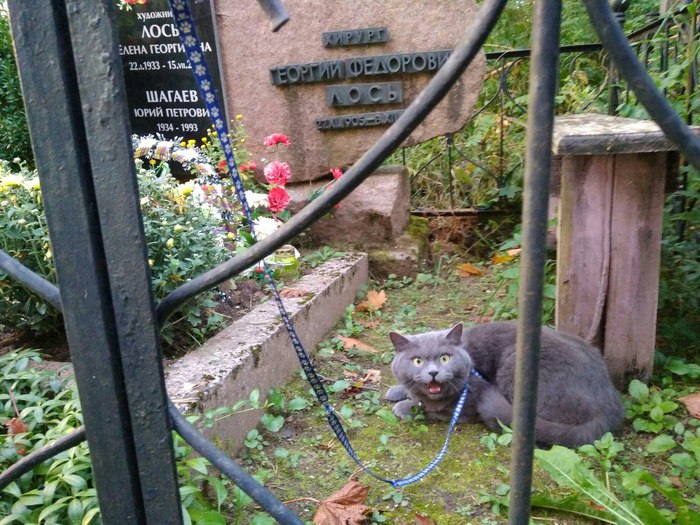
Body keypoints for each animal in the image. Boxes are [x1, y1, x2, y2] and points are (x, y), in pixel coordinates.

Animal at [388, 320, 624, 446]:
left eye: (445, 358)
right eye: (417, 361)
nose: (433, 373)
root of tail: (609, 408)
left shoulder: (467, 402)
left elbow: (433, 409)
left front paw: (405, 406)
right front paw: (397, 391)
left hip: (515, 363)